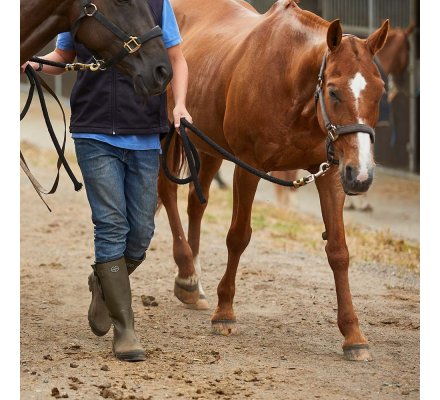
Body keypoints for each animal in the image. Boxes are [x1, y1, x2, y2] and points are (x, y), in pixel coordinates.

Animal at [159, 0, 388, 362]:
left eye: (380, 91)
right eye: (334, 92)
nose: (362, 174)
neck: (292, 85)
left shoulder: (331, 173)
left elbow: (338, 251)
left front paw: (353, 334)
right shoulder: (248, 167)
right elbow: (238, 237)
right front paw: (225, 313)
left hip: (207, 146)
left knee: (196, 202)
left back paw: (190, 282)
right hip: (170, 134)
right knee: (166, 191)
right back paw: (186, 267)